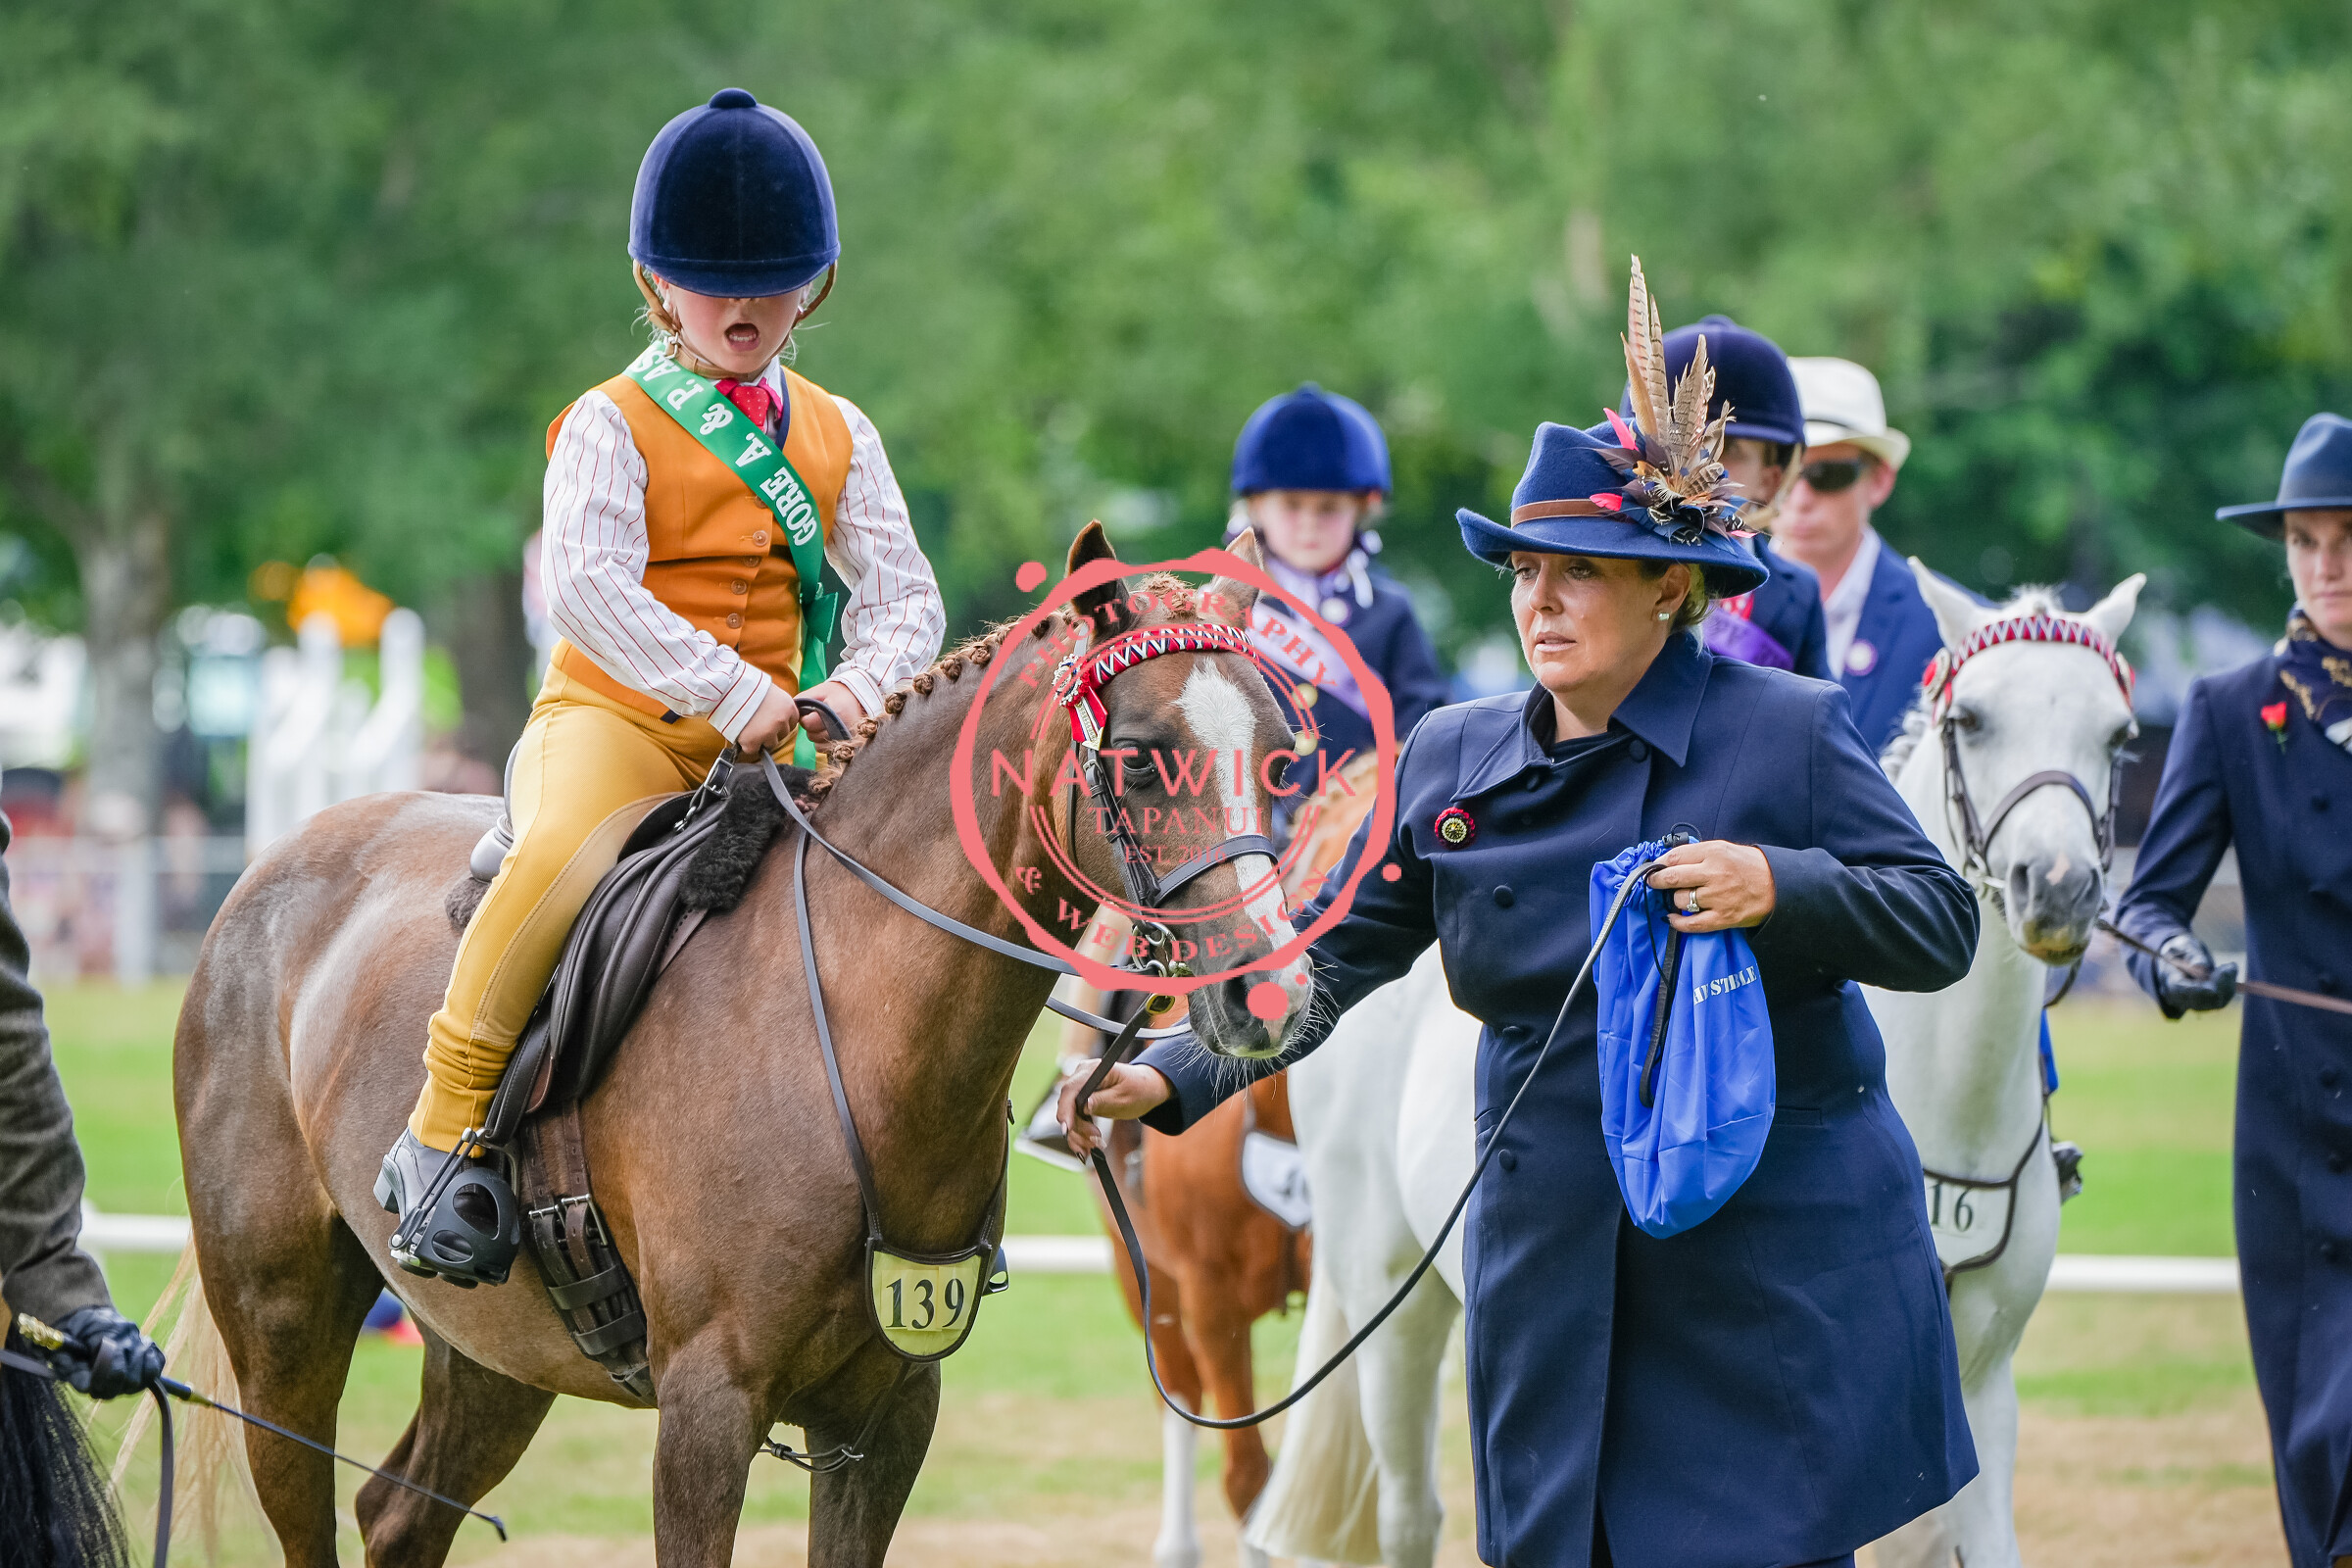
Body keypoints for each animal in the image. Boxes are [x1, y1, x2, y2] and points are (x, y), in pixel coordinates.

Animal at [162, 523, 1314, 1568]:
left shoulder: (886, 1416)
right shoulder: (708, 1413)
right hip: (283, 1329)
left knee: (401, 1516)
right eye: (1139, 758)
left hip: (494, 1355)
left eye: (1279, 757)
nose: (1269, 992)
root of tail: (271, 872)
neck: (854, 1032)